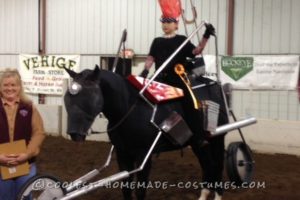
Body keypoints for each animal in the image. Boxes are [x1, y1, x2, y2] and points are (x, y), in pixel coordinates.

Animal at [63, 66, 227, 200]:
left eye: (89, 96)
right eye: (67, 98)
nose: (74, 134)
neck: (130, 108)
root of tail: (215, 87)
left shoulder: (143, 155)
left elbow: (140, 190)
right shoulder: (123, 154)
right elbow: (126, 189)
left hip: (217, 139)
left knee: (217, 166)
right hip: (198, 145)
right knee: (207, 165)